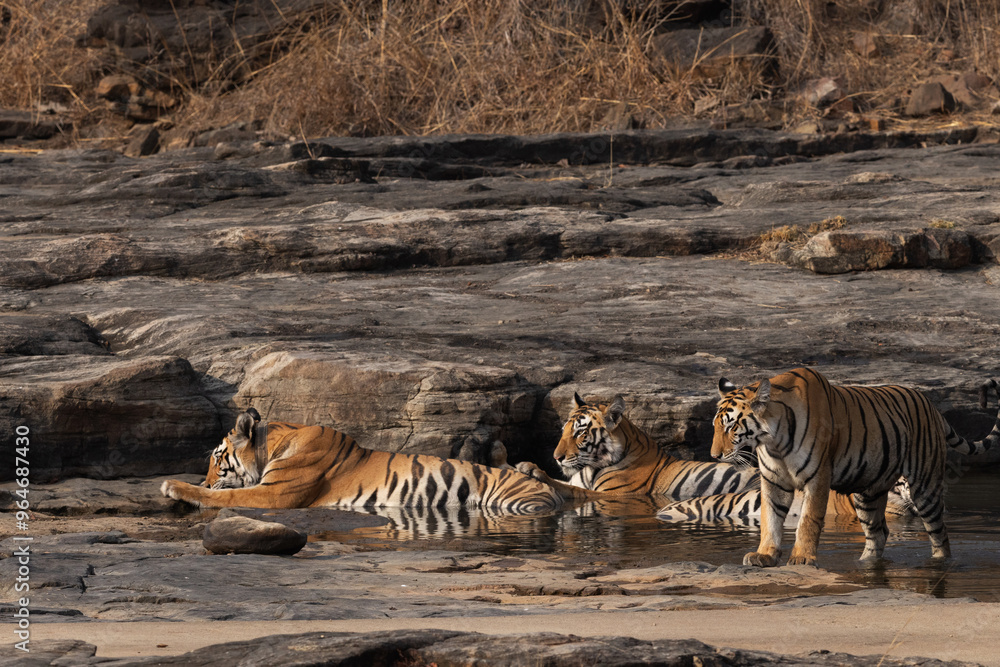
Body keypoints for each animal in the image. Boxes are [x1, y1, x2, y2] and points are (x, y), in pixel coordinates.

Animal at [515, 393, 759, 502]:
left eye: (580, 433)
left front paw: (532, 469)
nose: (557, 457)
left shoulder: (614, 494)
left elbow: (572, 490)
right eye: (564, 430)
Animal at [711, 368, 1000, 567]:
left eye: (731, 426)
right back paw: (865, 564)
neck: (773, 440)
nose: (714, 455)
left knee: (940, 534)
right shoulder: (773, 480)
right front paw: (764, 556)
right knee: (878, 533)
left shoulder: (818, 477)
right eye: (715, 425)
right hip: (867, 492)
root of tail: (931, 405)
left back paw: (939, 563)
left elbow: (808, 520)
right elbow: (770, 519)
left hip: (924, 485)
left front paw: (802, 559)